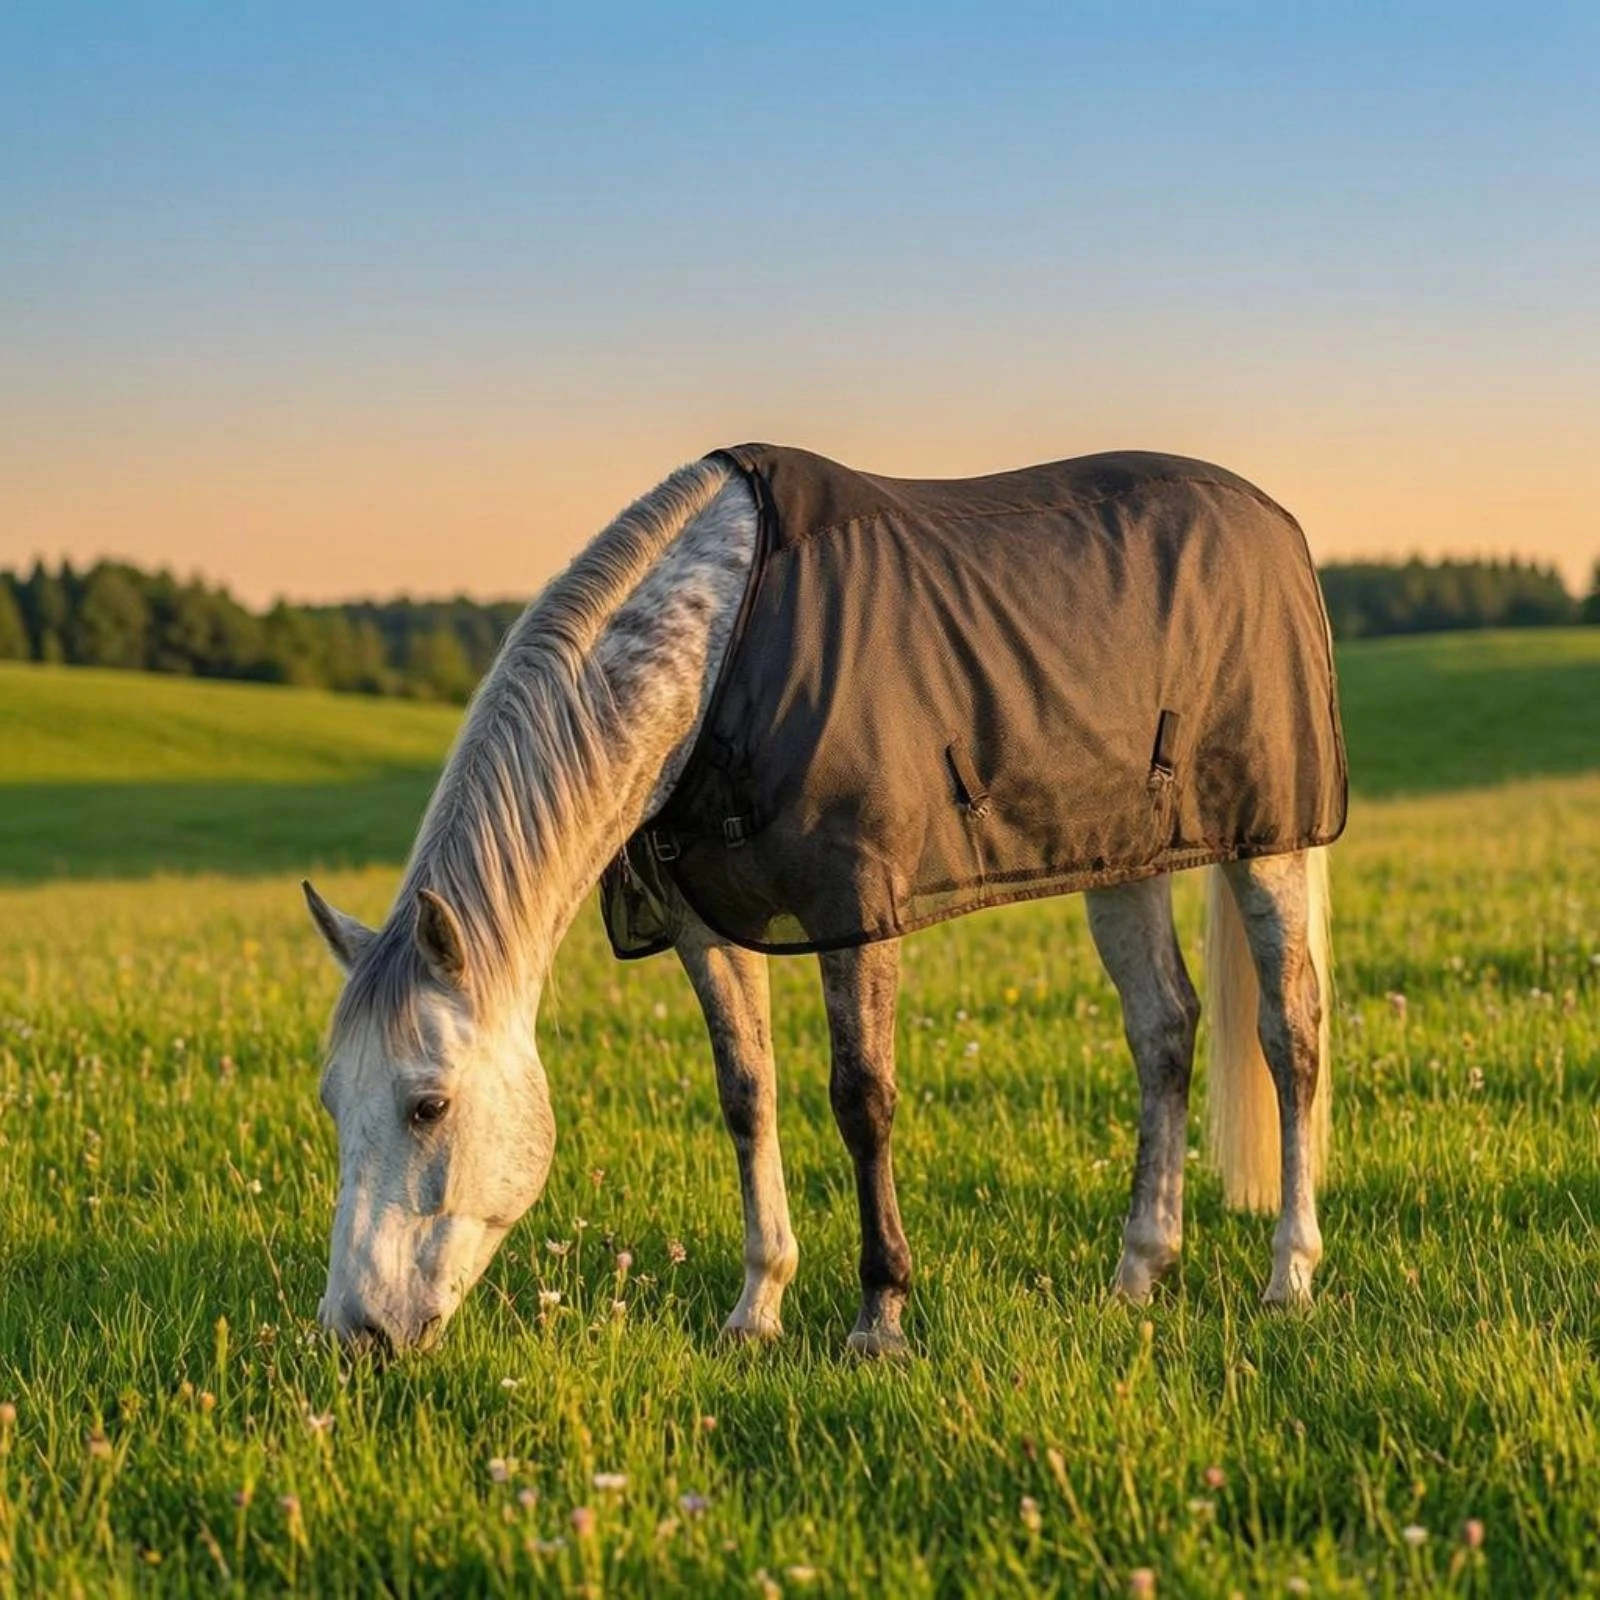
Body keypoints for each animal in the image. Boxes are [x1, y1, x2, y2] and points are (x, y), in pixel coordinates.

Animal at [303, 447, 1337, 1357]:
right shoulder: (704, 927)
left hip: (1271, 843)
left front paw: (878, 1317)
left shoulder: (856, 906)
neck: (726, 650)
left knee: (1288, 1035)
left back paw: (1289, 1276)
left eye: (427, 1107)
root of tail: (1275, 518)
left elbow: (861, 1099)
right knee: (1162, 1027)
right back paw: (1138, 1272)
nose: (356, 1334)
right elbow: (746, 1093)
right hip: (1123, 859)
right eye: (330, 1102)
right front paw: (757, 1306)